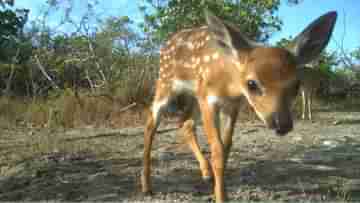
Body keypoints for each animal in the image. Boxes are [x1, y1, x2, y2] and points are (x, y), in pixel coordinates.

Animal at [141, 9, 338, 203]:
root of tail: (167, 43)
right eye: (251, 84)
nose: (282, 124)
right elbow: (217, 150)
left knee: (185, 122)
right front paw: (221, 197)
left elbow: (226, 147)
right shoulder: (208, 100)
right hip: (165, 83)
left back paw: (206, 173)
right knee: (151, 123)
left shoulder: (232, 105)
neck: (228, 83)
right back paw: (146, 187)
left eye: (296, 85)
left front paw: (220, 191)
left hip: (193, 96)